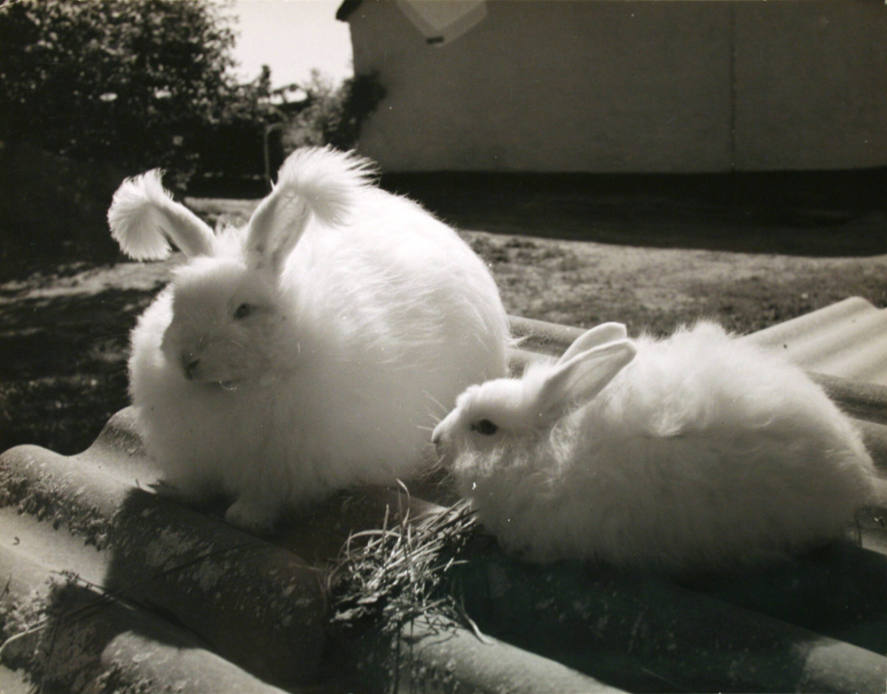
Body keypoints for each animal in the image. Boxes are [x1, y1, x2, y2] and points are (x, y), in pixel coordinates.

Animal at [106, 148, 506, 532]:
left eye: (243, 310)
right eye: (177, 304)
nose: (187, 360)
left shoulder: (280, 465)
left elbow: (263, 495)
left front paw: (246, 517)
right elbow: (197, 485)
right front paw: (173, 491)